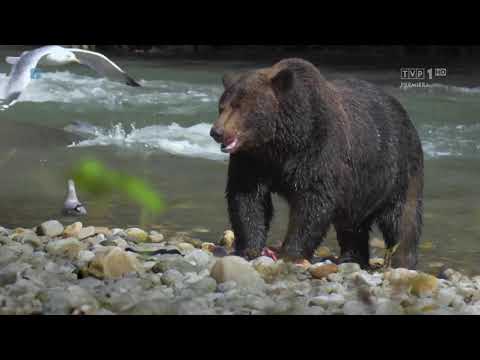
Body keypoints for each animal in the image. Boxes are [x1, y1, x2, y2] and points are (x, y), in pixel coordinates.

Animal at [210, 57, 424, 268]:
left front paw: (290, 253)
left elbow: (313, 201)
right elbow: (248, 197)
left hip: (398, 169)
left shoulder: (318, 148)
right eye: (222, 106)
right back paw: (352, 258)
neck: (282, 142)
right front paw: (250, 249)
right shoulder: (253, 160)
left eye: (239, 106)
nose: (216, 131)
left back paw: (402, 261)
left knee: (402, 218)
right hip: (359, 190)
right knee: (352, 225)